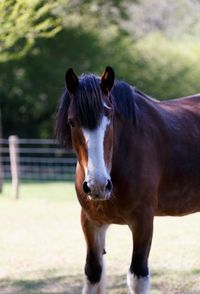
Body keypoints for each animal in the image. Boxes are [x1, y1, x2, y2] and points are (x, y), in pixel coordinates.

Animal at [55, 66, 200, 294]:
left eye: (110, 117)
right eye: (71, 122)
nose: (98, 186)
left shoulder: (143, 221)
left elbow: (137, 276)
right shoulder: (91, 222)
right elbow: (93, 273)